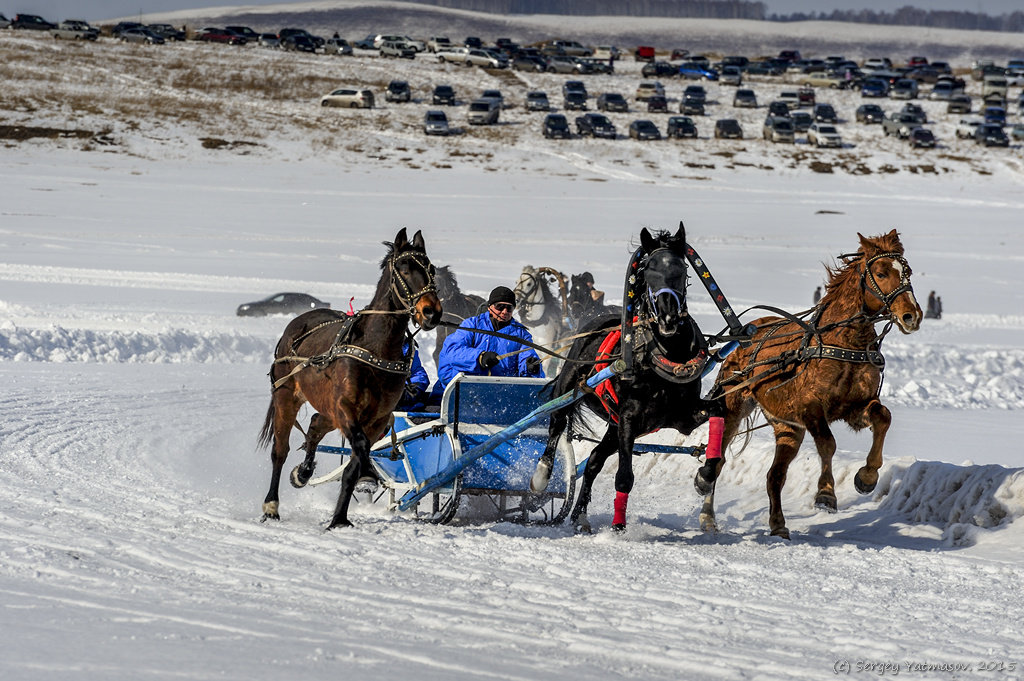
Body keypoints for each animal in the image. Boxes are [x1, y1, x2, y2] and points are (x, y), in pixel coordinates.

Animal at [256, 227, 440, 524]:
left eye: (431, 269)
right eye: (404, 268)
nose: (431, 311)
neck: (375, 349)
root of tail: (296, 325)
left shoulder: (377, 418)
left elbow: (355, 462)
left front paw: (339, 519)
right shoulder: (345, 407)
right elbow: (361, 449)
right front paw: (365, 479)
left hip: (327, 408)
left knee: (316, 425)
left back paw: (303, 472)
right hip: (287, 397)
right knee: (280, 450)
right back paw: (271, 505)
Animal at [532, 224, 724, 532]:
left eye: (681, 269)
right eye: (649, 271)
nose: (668, 318)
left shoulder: (682, 416)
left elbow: (718, 409)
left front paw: (704, 477)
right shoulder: (629, 418)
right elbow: (624, 477)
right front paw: (618, 529)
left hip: (612, 425)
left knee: (595, 460)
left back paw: (580, 516)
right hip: (571, 389)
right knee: (557, 424)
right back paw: (541, 476)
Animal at [708, 231, 925, 540]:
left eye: (907, 272)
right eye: (882, 273)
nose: (912, 316)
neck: (845, 342)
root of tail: (743, 337)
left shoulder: (855, 407)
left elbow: (883, 417)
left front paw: (867, 477)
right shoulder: (809, 407)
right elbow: (827, 443)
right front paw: (826, 494)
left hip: (787, 428)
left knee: (775, 476)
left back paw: (778, 524)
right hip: (733, 407)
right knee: (716, 461)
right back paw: (707, 514)